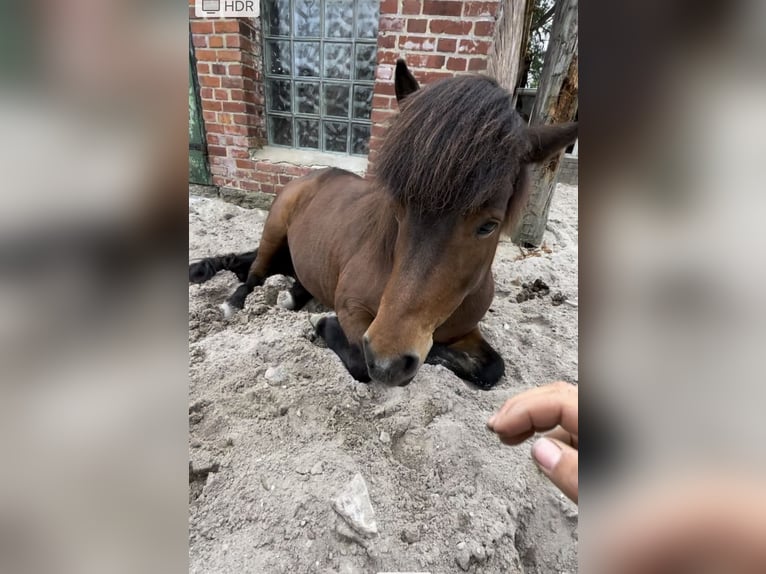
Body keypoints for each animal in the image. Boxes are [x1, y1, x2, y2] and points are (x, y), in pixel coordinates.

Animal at [190, 59, 576, 392]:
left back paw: (287, 293)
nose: (389, 359)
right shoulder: (355, 313)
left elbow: (493, 368)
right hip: (275, 229)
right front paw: (325, 323)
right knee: (255, 272)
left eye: (489, 225)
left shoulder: (465, 330)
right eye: (400, 207)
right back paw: (236, 301)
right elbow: (363, 361)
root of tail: (313, 175)